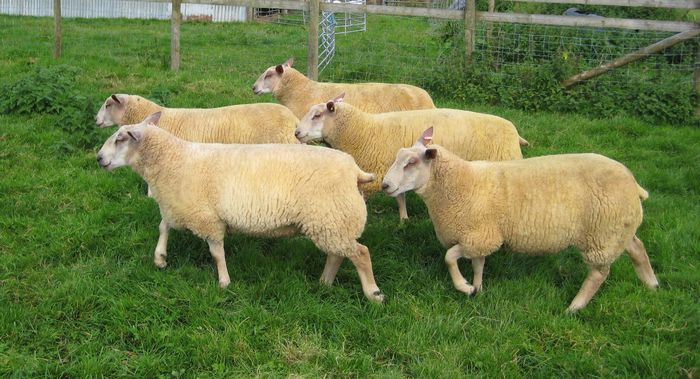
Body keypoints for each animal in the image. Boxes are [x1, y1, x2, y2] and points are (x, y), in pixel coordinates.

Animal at [94, 112, 382, 302]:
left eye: (120, 139)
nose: (98, 158)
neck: (174, 160)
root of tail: (355, 171)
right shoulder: (180, 207)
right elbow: (163, 226)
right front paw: (160, 258)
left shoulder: (207, 218)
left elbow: (216, 254)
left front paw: (223, 282)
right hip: (332, 221)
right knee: (338, 254)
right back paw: (324, 283)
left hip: (331, 218)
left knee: (360, 253)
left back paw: (373, 293)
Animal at [292, 93, 528, 221]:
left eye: (317, 115)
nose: (296, 133)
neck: (363, 130)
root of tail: (513, 130)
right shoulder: (394, 173)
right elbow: (400, 196)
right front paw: (404, 219)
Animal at [380, 127, 660, 312]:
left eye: (411, 162)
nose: (385, 185)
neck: (462, 184)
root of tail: (633, 183)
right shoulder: (481, 235)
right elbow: (478, 264)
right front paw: (478, 289)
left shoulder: (477, 235)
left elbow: (449, 258)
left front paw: (464, 286)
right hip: (617, 229)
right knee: (637, 247)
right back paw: (651, 283)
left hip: (602, 234)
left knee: (599, 274)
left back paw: (575, 307)